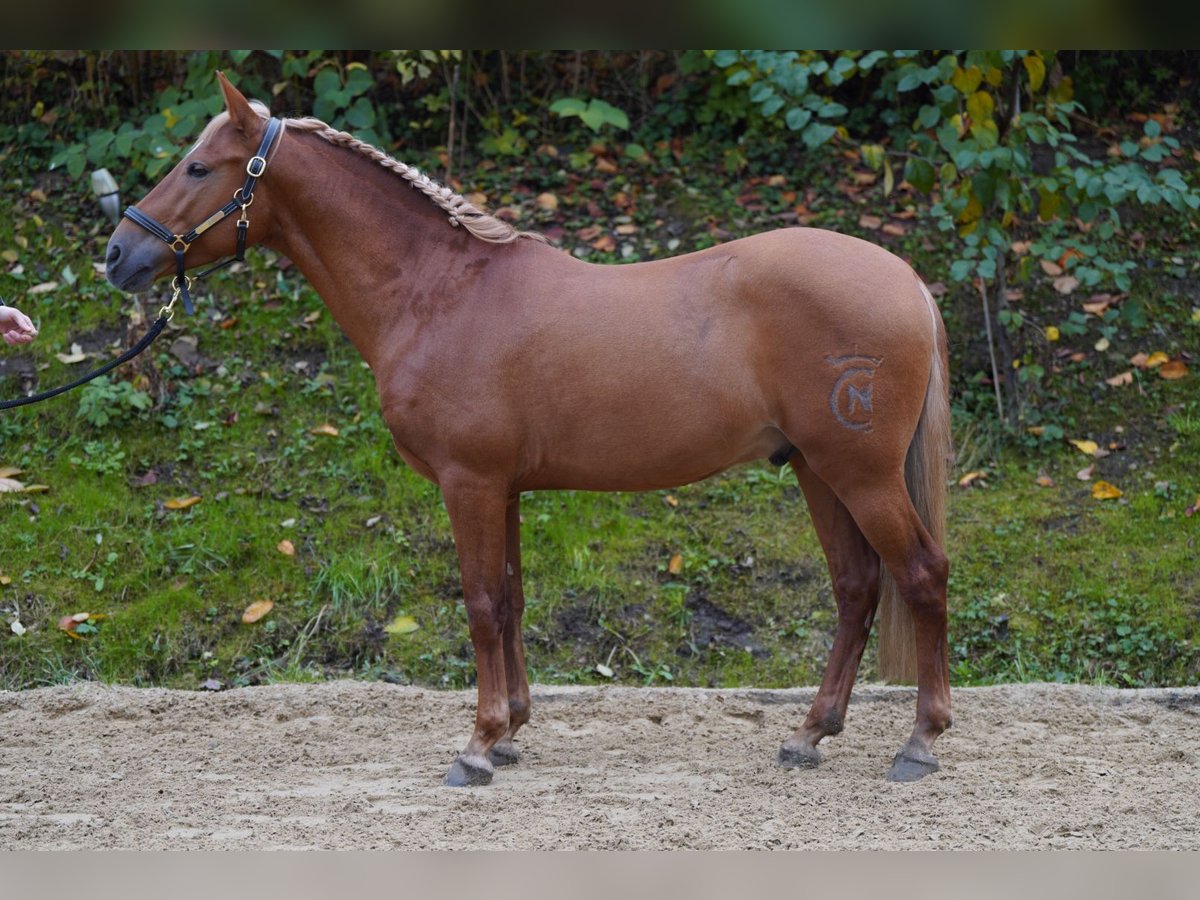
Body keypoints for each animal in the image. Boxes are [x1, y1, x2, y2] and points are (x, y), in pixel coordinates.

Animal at [103, 77, 950, 787]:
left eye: (199, 168)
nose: (117, 253)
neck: (439, 292)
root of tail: (906, 279)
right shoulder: (502, 487)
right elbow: (510, 598)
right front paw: (510, 732)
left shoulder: (469, 482)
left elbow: (481, 603)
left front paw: (477, 747)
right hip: (815, 469)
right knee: (856, 588)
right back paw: (809, 735)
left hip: (860, 474)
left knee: (920, 575)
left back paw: (920, 742)